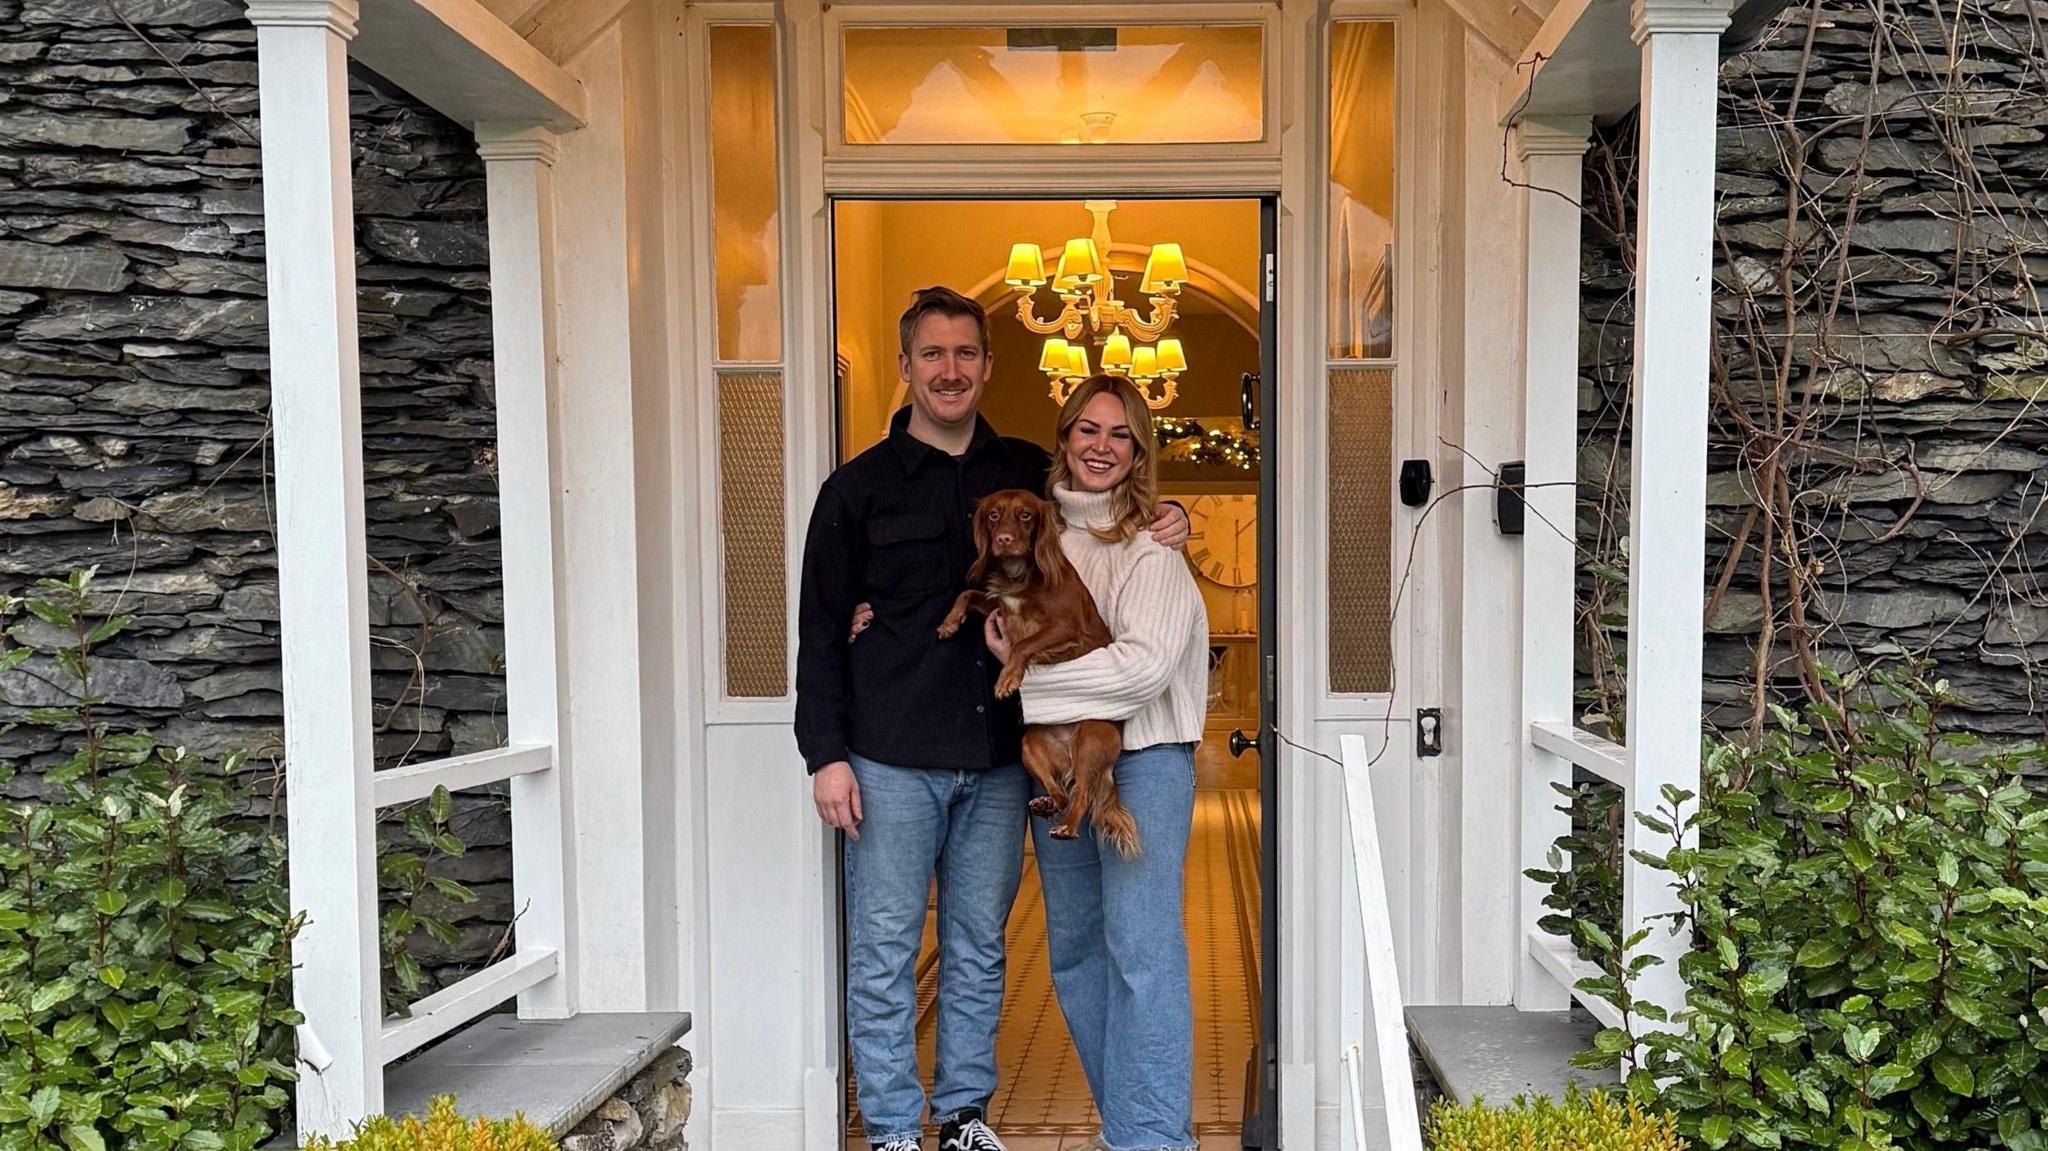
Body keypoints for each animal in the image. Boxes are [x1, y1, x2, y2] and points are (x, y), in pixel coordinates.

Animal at [937, 483, 1138, 851]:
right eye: (993, 515)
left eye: (1026, 515)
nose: (1003, 539)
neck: (1019, 575)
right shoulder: (998, 606)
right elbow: (968, 593)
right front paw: (949, 623)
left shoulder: (1066, 628)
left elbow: (1022, 644)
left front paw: (1006, 679)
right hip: (1029, 745)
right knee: (1061, 793)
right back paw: (1046, 804)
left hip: (1091, 740)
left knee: (1081, 795)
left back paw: (1067, 827)